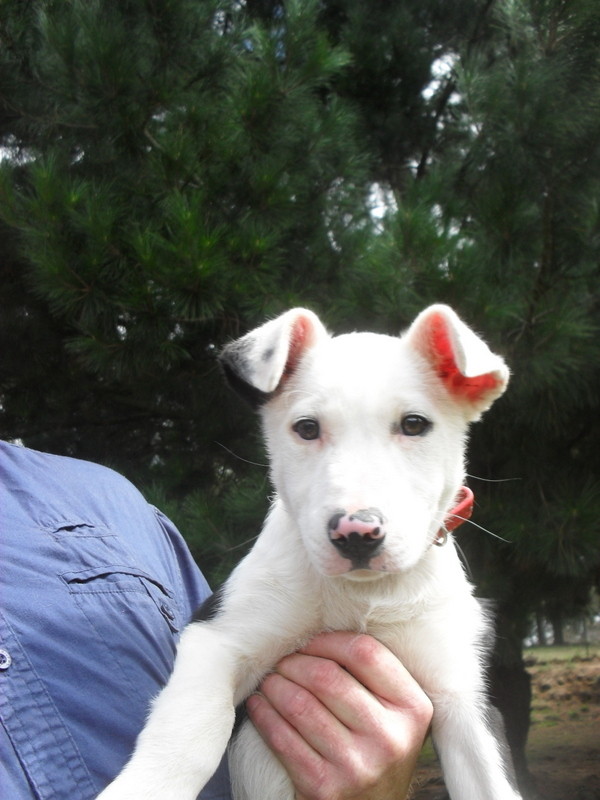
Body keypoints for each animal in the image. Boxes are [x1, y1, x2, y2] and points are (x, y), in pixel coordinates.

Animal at [97, 305, 521, 800]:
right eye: (307, 428)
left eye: (414, 424)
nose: (357, 533)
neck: (362, 595)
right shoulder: (221, 637)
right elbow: (189, 732)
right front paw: (144, 785)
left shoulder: (464, 691)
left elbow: (490, 781)